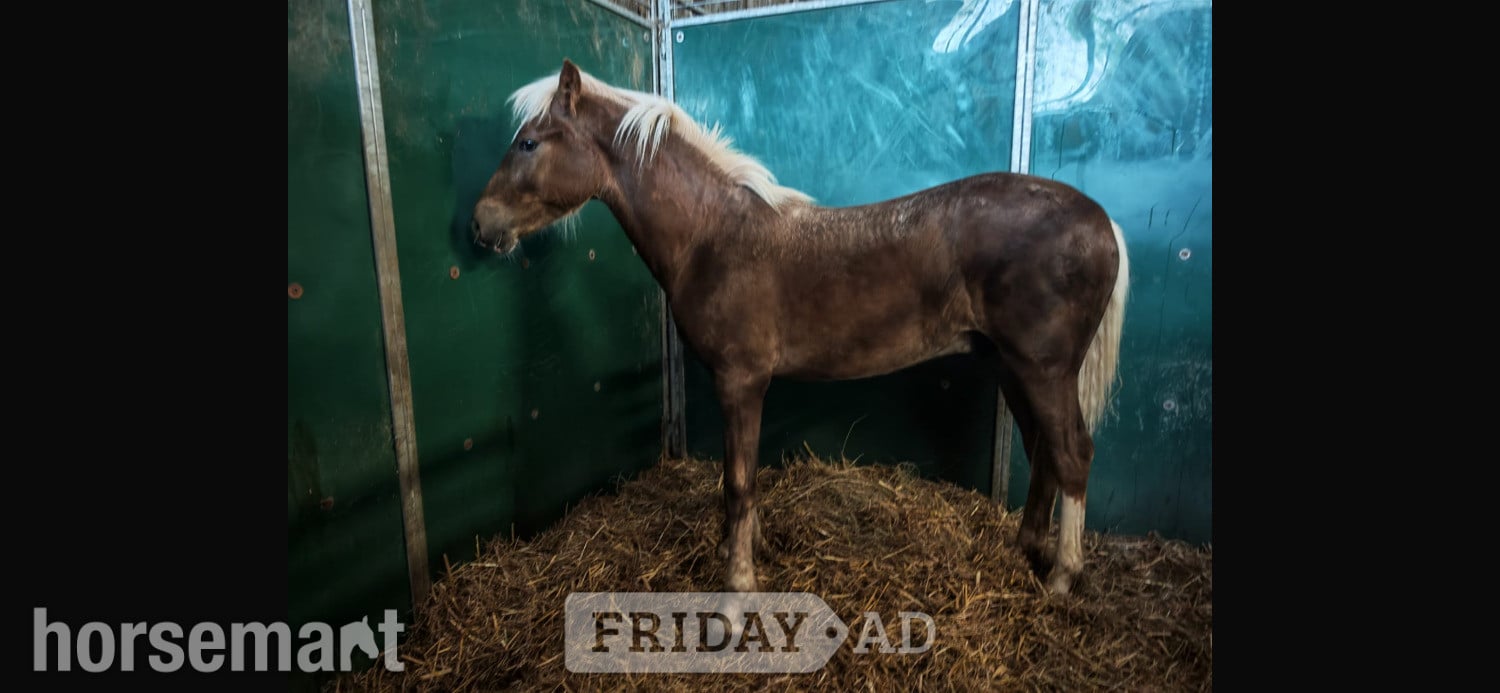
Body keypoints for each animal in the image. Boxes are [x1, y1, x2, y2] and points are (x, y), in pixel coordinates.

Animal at [471, 60, 1129, 597]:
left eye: (528, 142)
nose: (480, 224)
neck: (712, 237)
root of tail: (1101, 221)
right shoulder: (744, 385)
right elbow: (741, 477)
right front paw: (746, 549)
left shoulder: (740, 380)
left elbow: (738, 482)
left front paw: (737, 584)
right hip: (1010, 366)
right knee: (1043, 451)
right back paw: (1026, 548)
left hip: (1043, 368)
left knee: (1072, 453)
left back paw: (1063, 577)